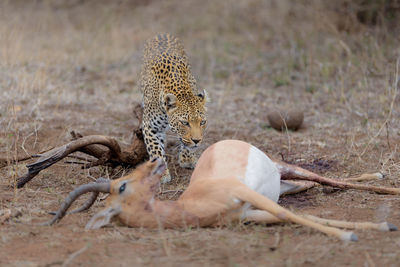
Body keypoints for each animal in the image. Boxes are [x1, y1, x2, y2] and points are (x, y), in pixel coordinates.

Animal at [140, 33, 208, 183]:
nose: (197, 141)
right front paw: (160, 174)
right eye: (185, 123)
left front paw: (188, 159)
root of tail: (162, 33)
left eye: (202, 122)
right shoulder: (150, 126)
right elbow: (156, 150)